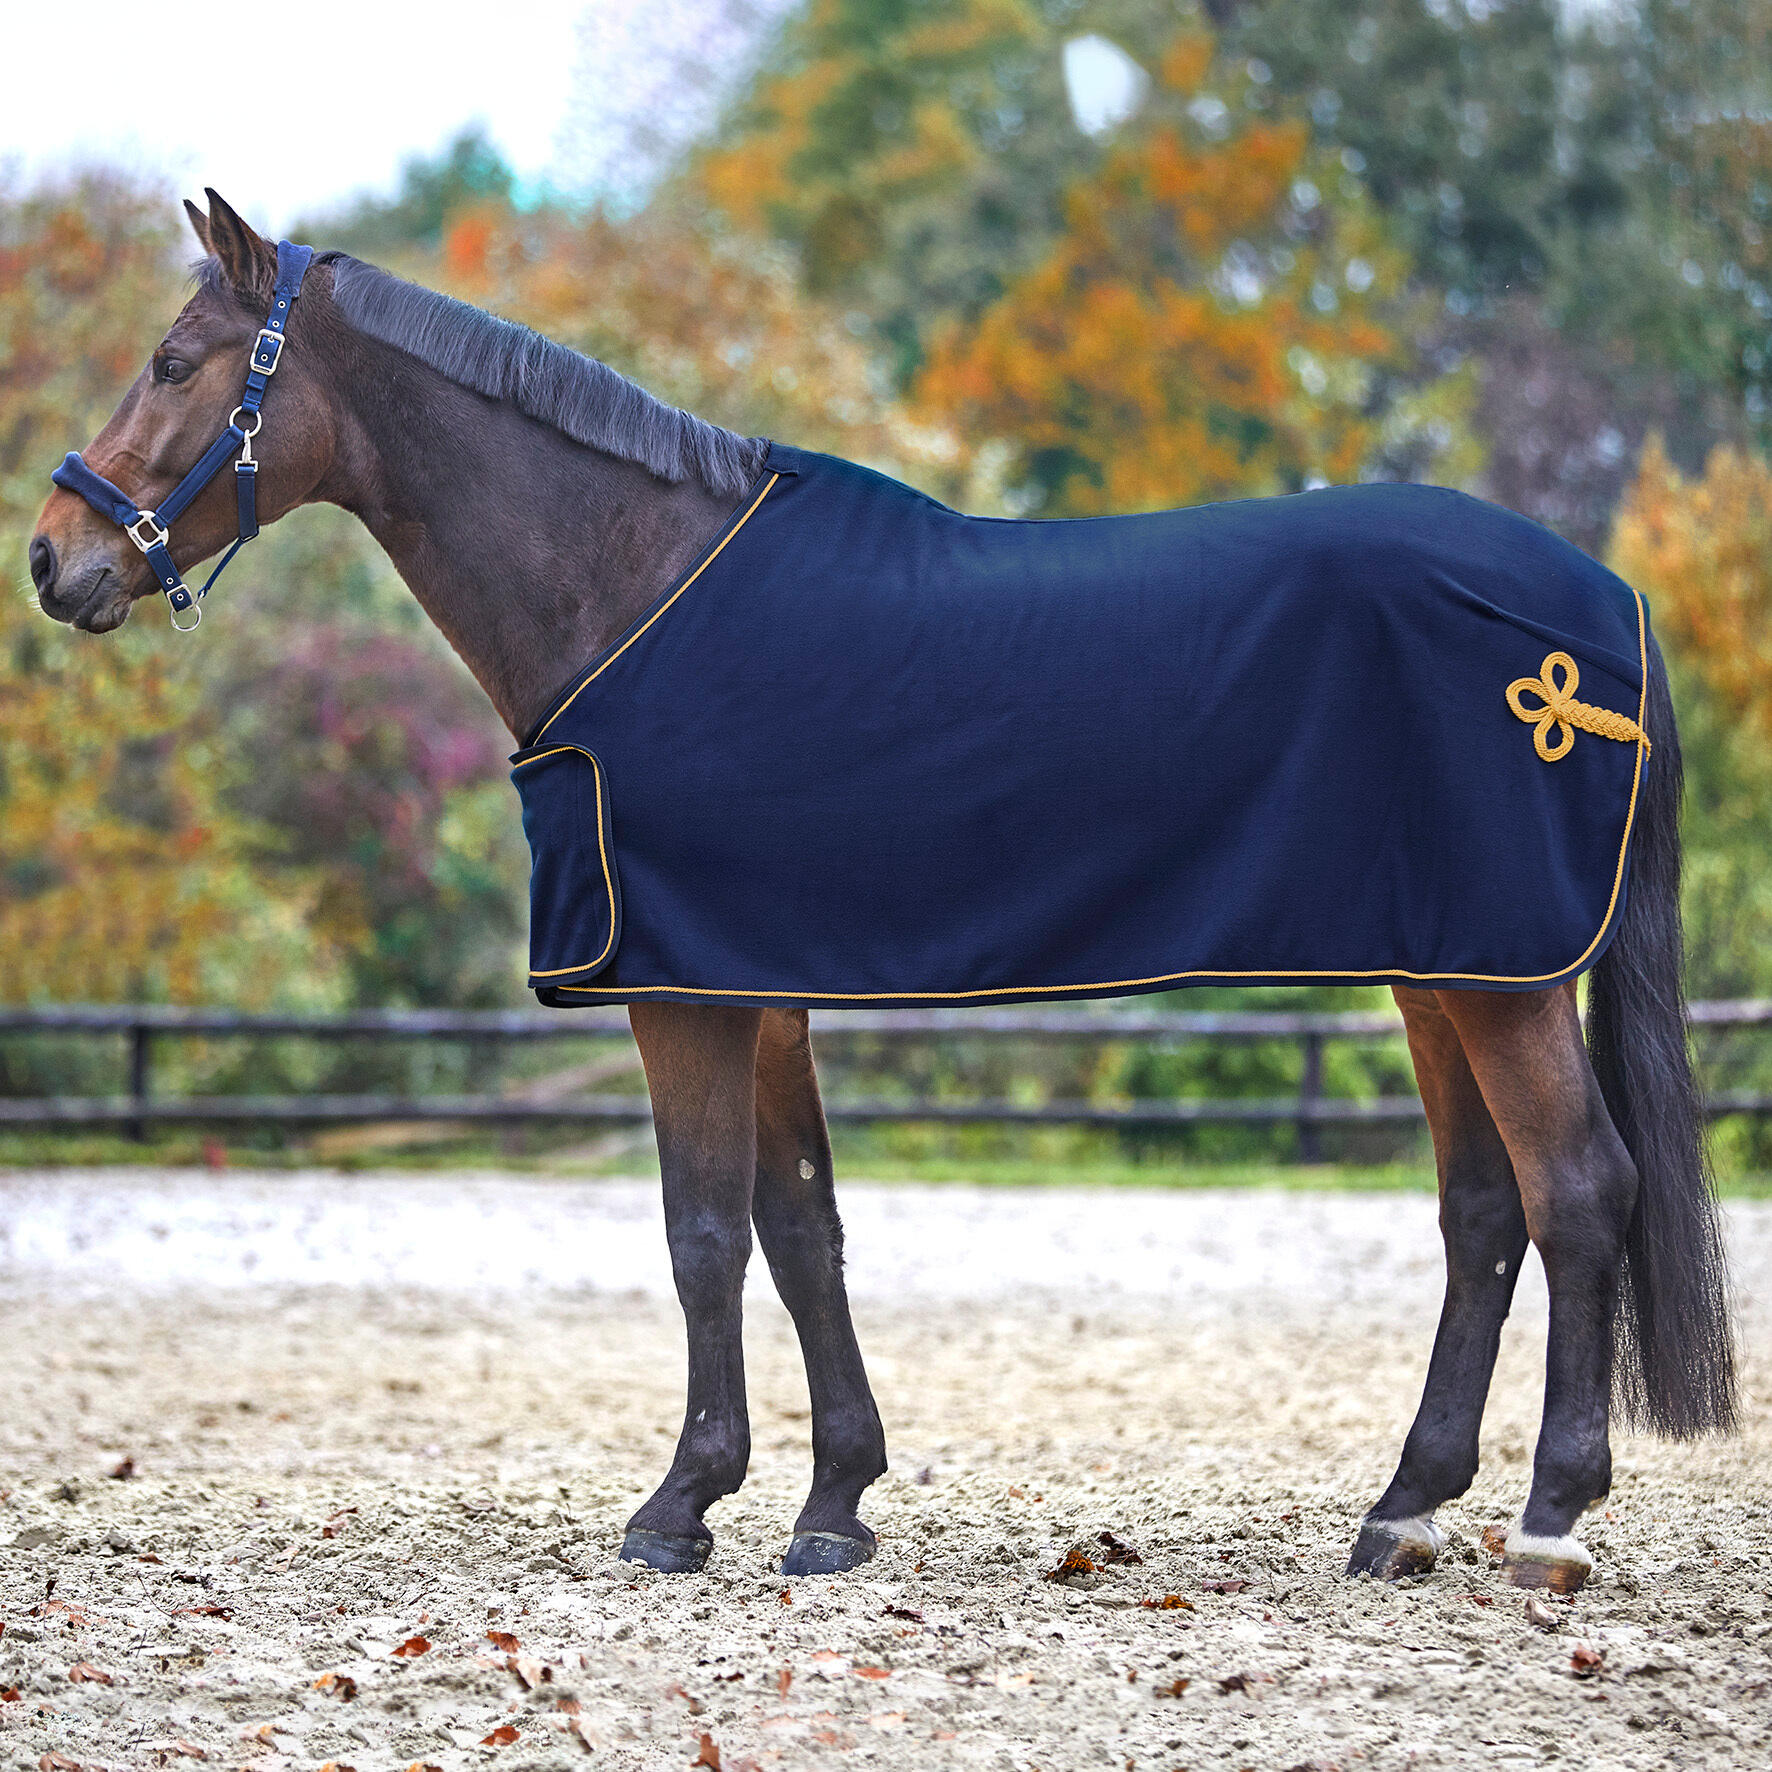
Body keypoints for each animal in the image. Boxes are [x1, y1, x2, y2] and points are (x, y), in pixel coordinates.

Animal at [31, 191, 1735, 1590]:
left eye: (178, 361)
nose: (54, 561)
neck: (636, 585)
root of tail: (1603, 615)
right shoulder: (754, 984)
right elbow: (804, 1230)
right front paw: (833, 1505)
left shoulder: (677, 994)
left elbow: (703, 1233)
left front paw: (681, 1508)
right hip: (1446, 966)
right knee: (1483, 1211)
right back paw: (1404, 1512)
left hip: (1502, 978)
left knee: (1579, 1191)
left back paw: (1549, 1520)